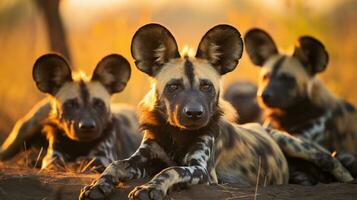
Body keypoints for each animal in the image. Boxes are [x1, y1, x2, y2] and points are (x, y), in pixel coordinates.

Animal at [0, 54, 141, 171]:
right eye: (71, 104)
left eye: (98, 104)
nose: (87, 126)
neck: (77, 145)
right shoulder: (52, 157)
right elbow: (54, 162)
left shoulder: (102, 158)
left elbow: (87, 161)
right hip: (23, 133)